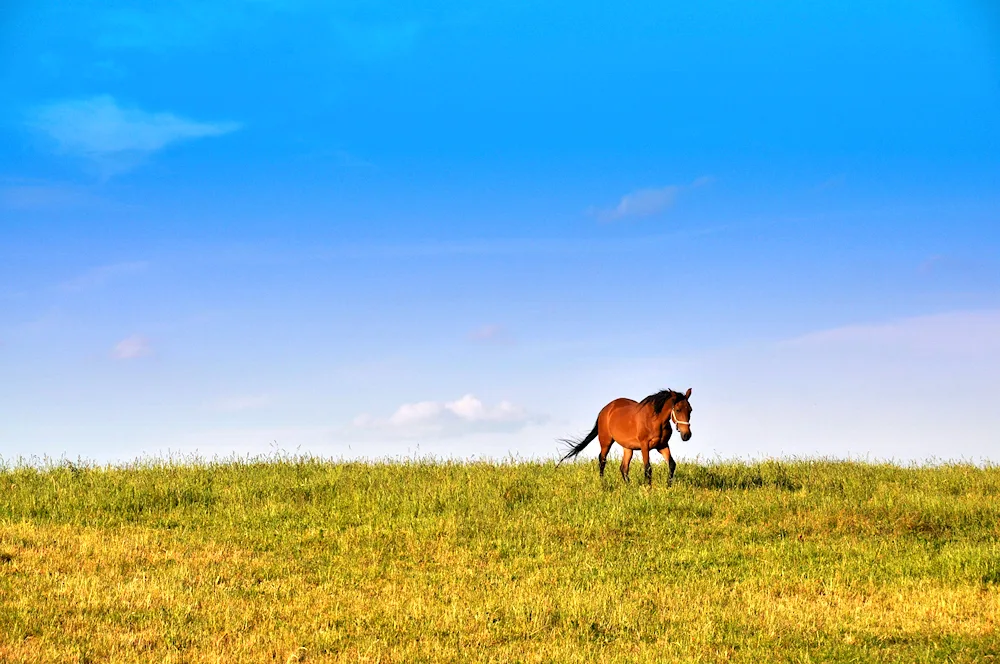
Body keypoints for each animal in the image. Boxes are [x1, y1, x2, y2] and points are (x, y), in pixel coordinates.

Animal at [556, 386, 696, 486]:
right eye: (677, 410)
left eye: (690, 410)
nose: (686, 435)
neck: (655, 420)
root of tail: (605, 410)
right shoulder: (645, 446)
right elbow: (648, 468)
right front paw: (648, 488)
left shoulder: (662, 445)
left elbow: (672, 465)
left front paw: (668, 486)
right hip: (606, 441)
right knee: (602, 460)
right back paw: (602, 483)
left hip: (628, 448)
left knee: (623, 468)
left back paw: (628, 486)